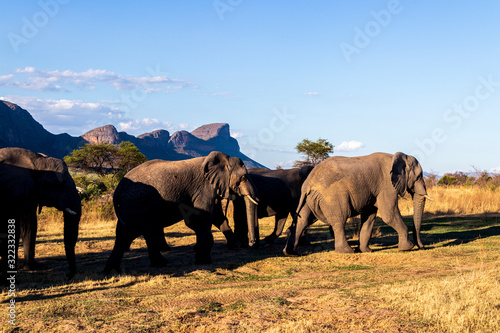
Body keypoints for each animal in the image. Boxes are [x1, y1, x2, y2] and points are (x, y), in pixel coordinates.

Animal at [0, 147, 81, 278]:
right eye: (60, 183)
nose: (68, 275)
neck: (38, 161)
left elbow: (25, 224)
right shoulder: (18, 188)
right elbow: (24, 225)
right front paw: (28, 268)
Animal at [101, 150, 258, 272]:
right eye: (244, 177)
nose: (251, 244)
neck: (223, 159)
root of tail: (118, 190)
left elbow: (217, 217)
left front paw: (234, 245)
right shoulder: (204, 188)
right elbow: (204, 217)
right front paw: (204, 261)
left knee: (130, 233)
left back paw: (114, 270)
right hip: (136, 204)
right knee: (135, 232)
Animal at [284, 151, 432, 254]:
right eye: (419, 176)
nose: (423, 247)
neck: (397, 156)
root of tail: (309, 183)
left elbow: (369, 216)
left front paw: (366, 251)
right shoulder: (387, 185)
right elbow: (388, 214)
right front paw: (407, 248)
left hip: (308, 199)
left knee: (302, 221)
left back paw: (290, 253)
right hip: (332, 196)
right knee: (339, 220)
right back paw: (346, 251)